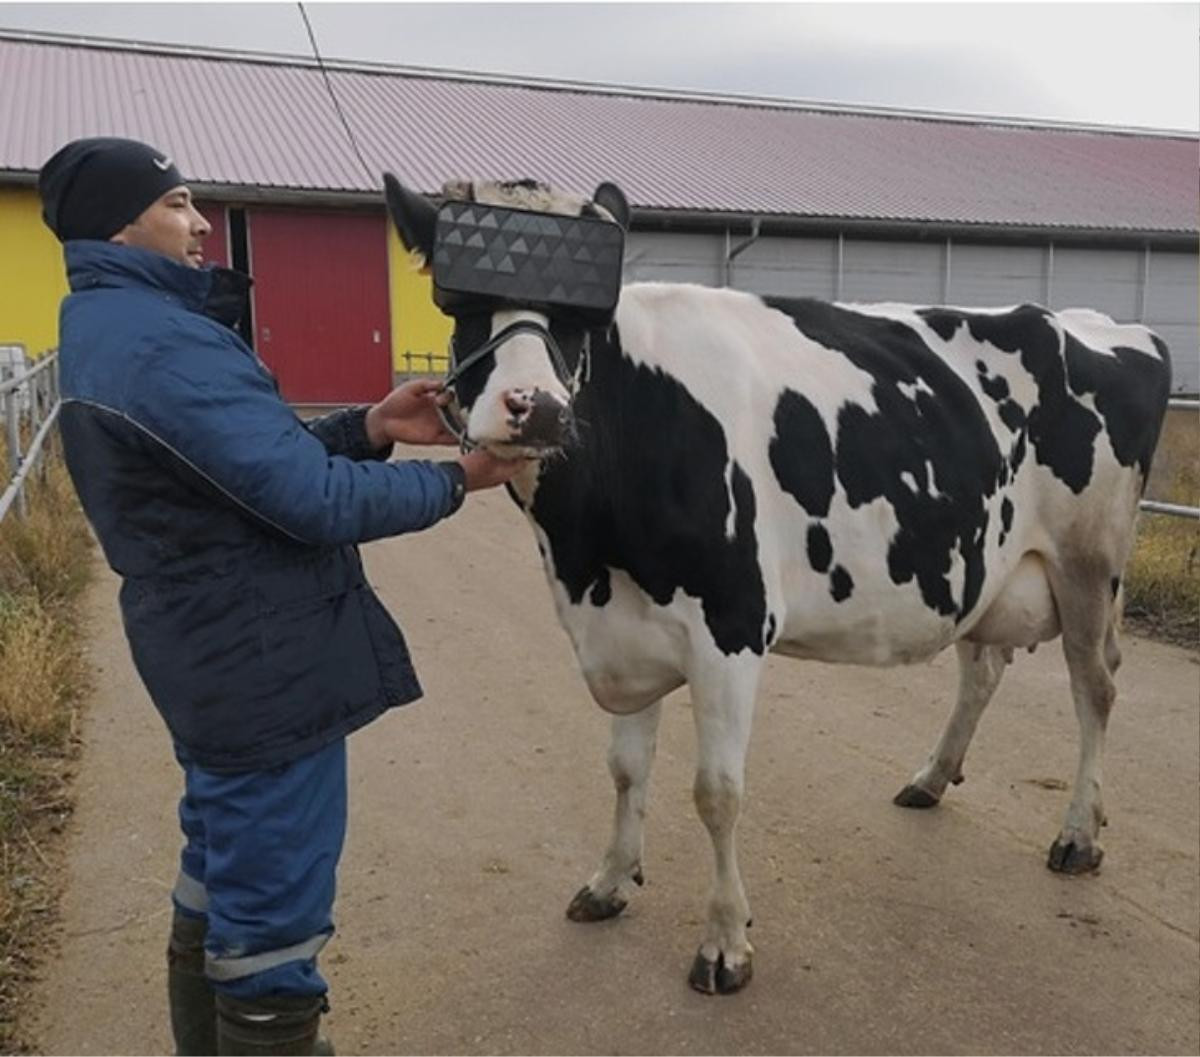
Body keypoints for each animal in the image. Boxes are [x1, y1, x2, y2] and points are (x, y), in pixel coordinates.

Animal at [379, 171, 1166, 988]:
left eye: (580, 319)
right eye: (459, 304)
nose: (535, 407)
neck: (586, 552)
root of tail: (1103, 325)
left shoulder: (729, 626)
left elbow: (716, 793)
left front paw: (725, 940)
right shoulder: (621, 628)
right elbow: (626, 769)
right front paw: (609, 881)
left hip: (1089, 562)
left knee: (1095, 687)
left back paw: (1078, 835)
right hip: (987, 562)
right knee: (983, 667)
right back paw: (930, 778)